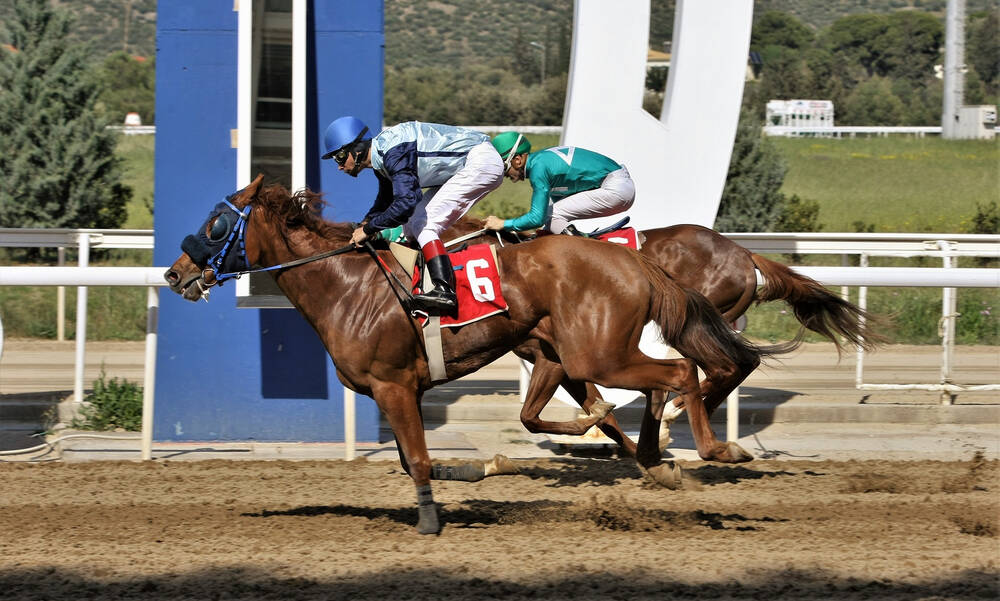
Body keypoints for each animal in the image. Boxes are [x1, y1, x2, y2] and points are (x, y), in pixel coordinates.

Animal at [164, 175, 776, 536]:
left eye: (217, 223)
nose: (176, 274)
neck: (346, 286)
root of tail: (635, 261)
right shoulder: (401, 389)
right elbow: (420, 459)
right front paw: (490, 464)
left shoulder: (393, 385)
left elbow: (420, 461)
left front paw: (431, 522)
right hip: (587, 352)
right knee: (658, 383)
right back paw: (660, 457)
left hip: (597, 353)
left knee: (680, 370)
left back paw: (714, 449)